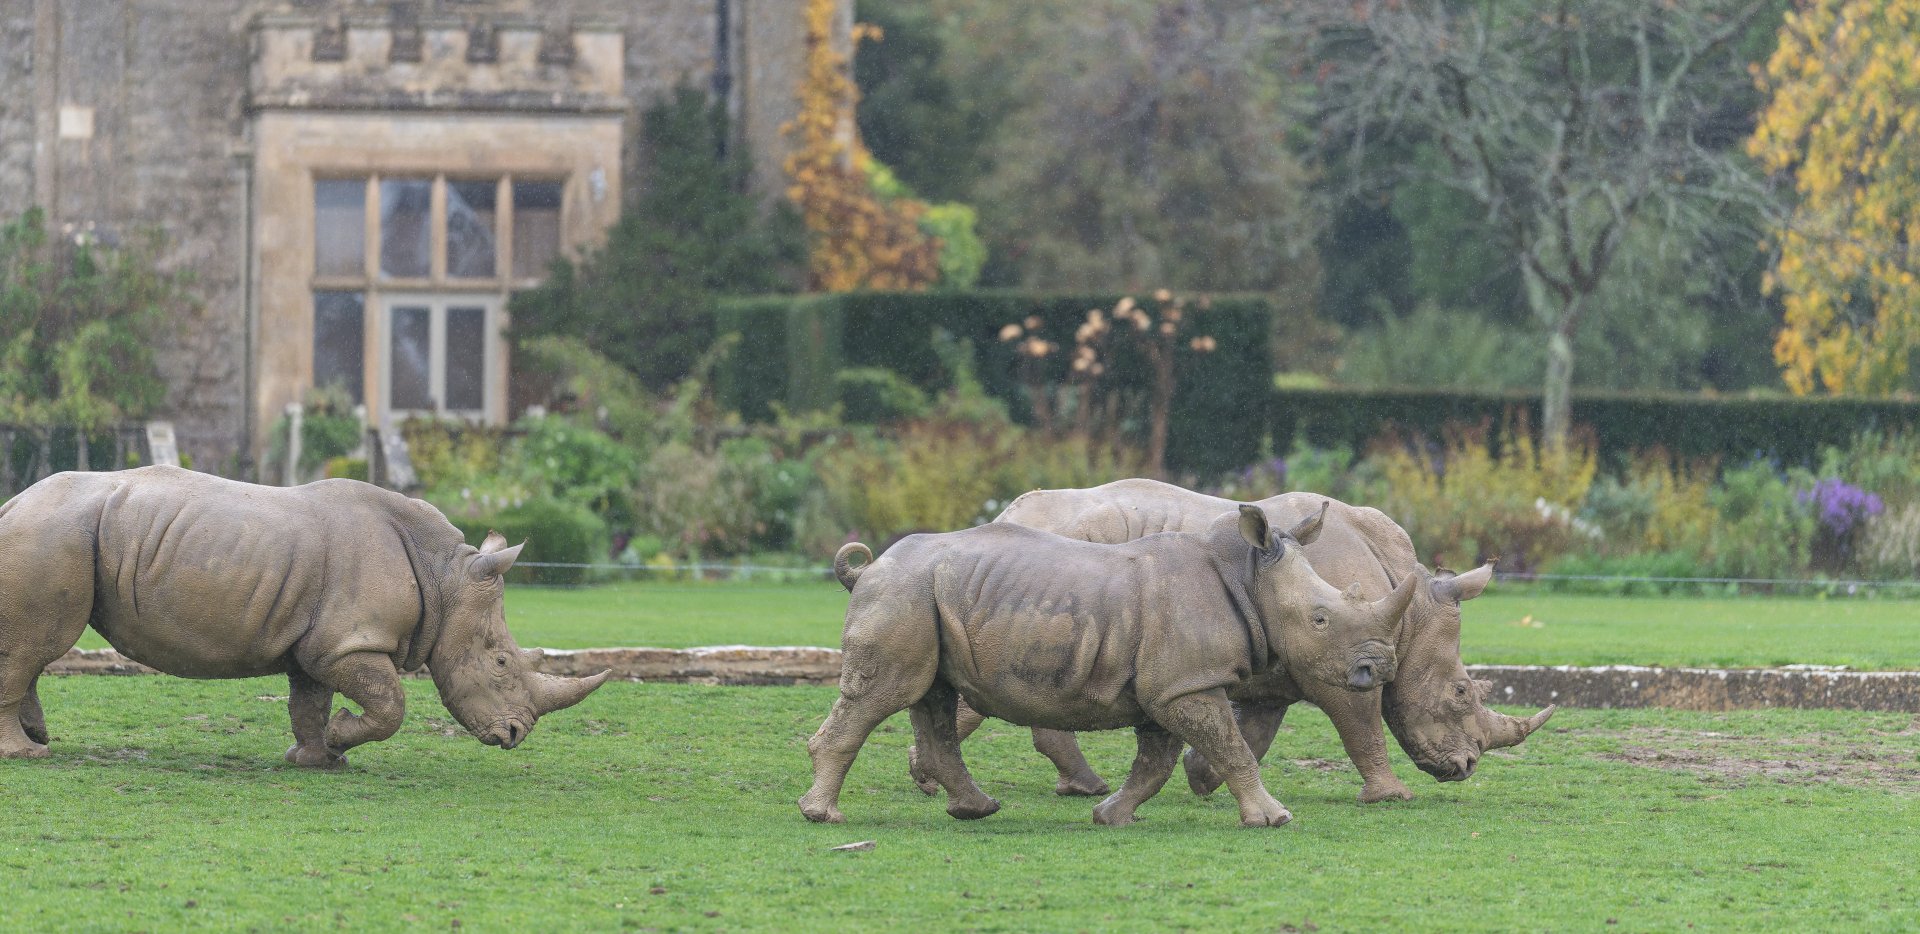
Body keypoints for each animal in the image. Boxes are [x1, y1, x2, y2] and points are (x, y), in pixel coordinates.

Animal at [0, 466, 611, 765]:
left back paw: (38, 736)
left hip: (60, 533)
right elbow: (390, 706)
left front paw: (316, 759)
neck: (446, 577)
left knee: (33, 648)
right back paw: (27, 754)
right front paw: (341, 739)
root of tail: (15, 501)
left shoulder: (319, 643)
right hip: (53, 534)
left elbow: (307, 702)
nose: (514, 735)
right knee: (39, 644)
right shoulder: (351, 642)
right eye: (502, 662)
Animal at [801, 502, 1419, 827]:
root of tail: (871, 567)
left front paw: (1111, 816)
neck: (1247, 574)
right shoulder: (1186, 684)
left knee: (931, 699)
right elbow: (1231, 747)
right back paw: (823, 816)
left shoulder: (1170, 685)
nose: (1375, 671)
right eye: (1320, 619)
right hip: (902, 592)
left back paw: (976, 810)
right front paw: (1272, 819)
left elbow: (1157, 760)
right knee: (886, 694)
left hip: (925, 595)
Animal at [922, 479, 1553, 803]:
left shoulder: (1285, 666)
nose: (1465, 766)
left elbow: (1258, 728)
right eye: (1462, 693)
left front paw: (1202, 779)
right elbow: (1362, 725)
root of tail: (1005, 511)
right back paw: (934, 783)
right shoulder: (1345, 656)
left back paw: (1075, 787)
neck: (1412, 611)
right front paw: (1391, 795)